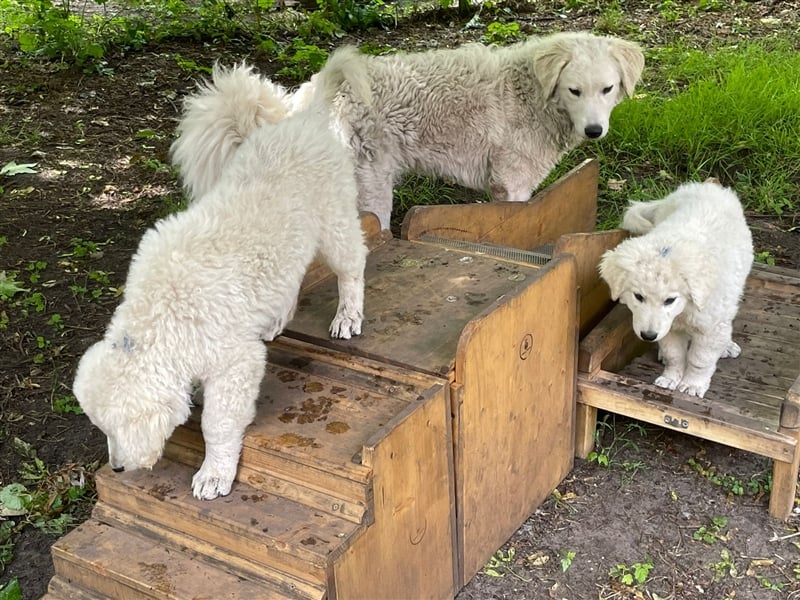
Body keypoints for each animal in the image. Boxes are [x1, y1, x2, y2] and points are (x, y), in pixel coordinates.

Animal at [73, 63, 368, 500]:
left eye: (115, 428)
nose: (119, 468)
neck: (161, 318)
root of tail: (305, 121)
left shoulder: (236, 363)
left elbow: (218, 423)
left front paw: (214, 474)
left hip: (335, 222)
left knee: (352, 266)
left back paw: (348, 316)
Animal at [298, 32, 644, 230]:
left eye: (607, 89)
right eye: (574, 91)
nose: (594, 131)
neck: (532, 92)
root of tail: (326, 91)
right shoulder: (512, 185)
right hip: (371, 190)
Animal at [604, 183, 752, 398]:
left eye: (670, 300)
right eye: (638, 296)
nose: (648, 336)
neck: (685, 309)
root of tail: (704, 185)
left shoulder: (710, 326)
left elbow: (700, 359)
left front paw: (692, 384)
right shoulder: (668, 328)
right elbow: (674, 354)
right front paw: (670, 378)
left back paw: (727, 346)